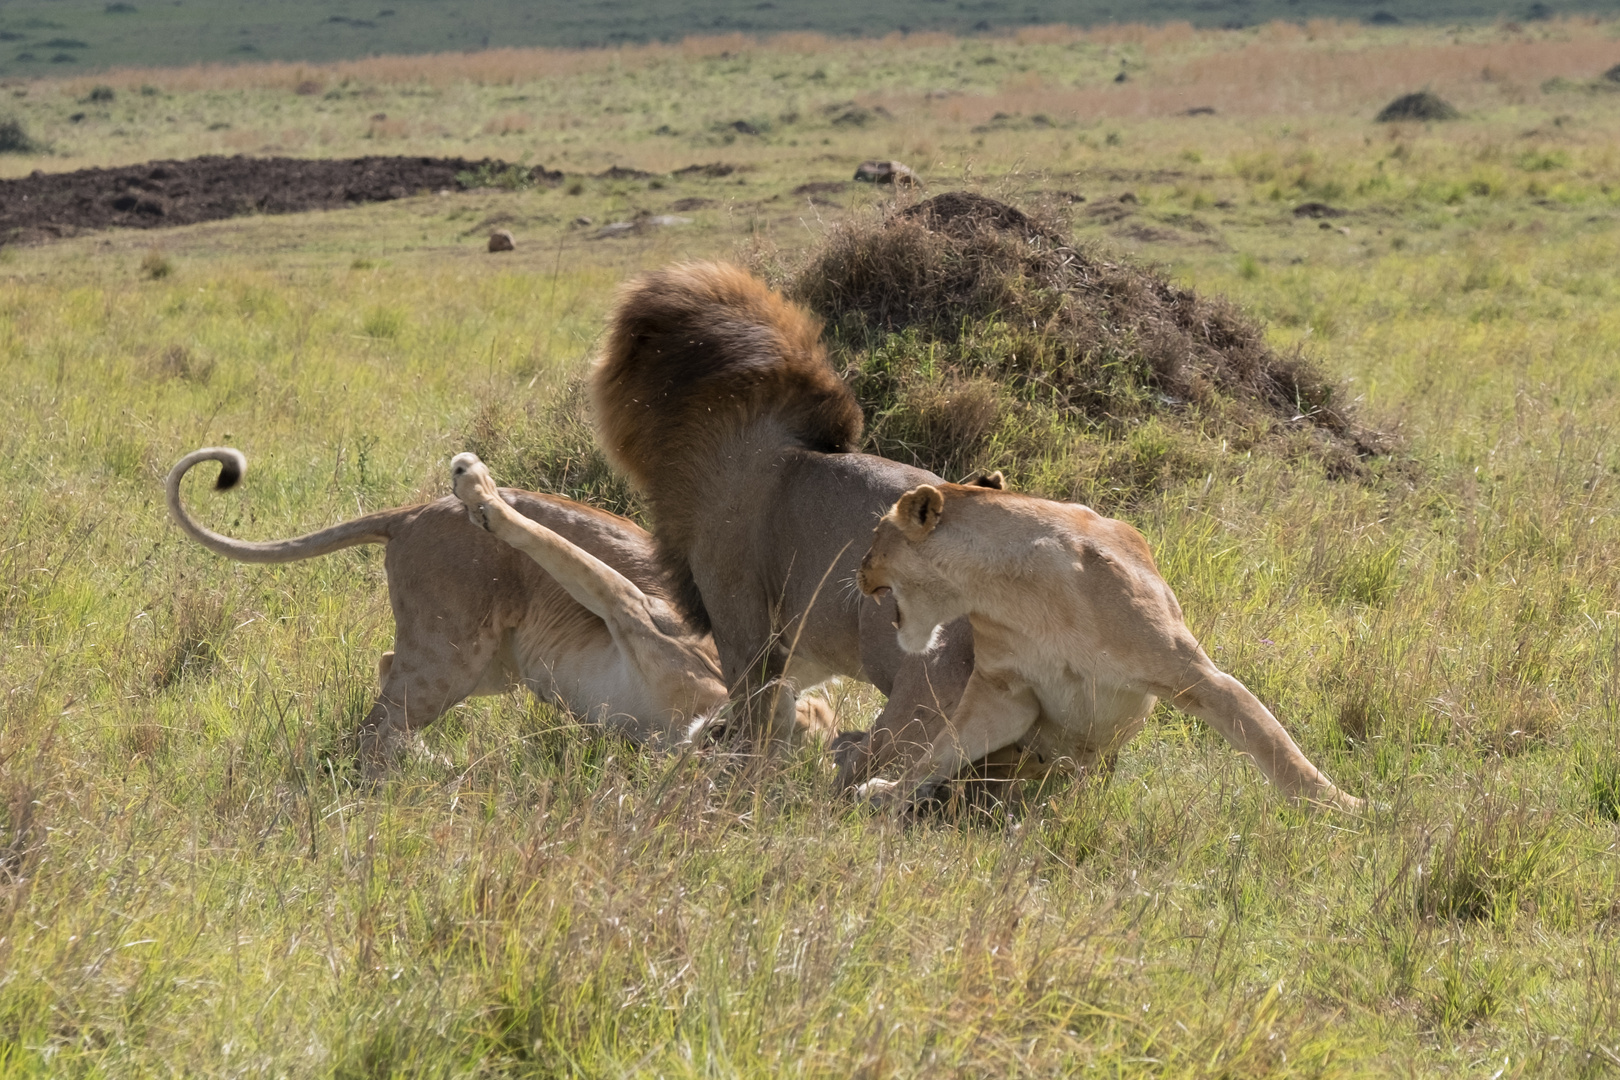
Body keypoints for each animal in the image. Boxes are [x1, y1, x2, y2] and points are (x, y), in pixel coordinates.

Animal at [169, 446, 829, 767]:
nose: (715, 740)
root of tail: (411, 515)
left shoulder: (636, 625)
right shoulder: (641, 612)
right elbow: (564, 552)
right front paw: (479, 485)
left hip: (465, 662)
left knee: (376, 723)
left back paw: (436, 767)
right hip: (456, 660)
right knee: (376, 722)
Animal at [855, 482, 1360, 809]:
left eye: (875, 535)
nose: (858, 570)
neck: (1010, 590)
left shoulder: (1194, 676)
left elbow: (1274, 745)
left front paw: (1347, 809)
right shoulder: (1004, 695)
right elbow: (942, 750)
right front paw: (890, 796)